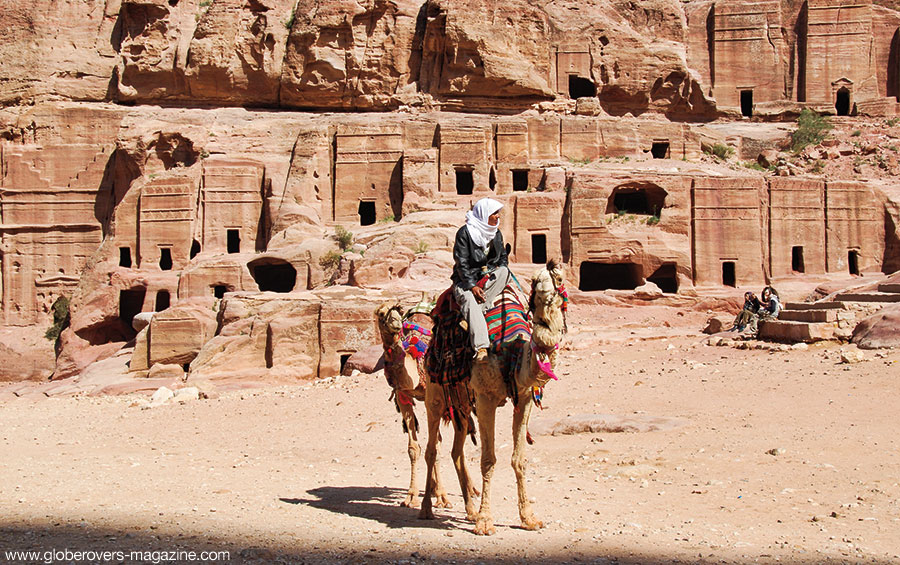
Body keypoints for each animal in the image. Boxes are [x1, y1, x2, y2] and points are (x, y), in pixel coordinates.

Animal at [372, 302, 450, 508]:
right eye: (381, 313)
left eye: (398, 311)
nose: (396, 323)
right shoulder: (403, 397)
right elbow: (414, 448)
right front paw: (411, 496)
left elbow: (436, 445)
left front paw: (442, 496)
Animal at [468, 260, 568, 532]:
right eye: (534, 280)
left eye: (559, 278)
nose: (545, 289)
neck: (512, 351)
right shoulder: (484, 397)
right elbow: (488, 460)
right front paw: (484, 521)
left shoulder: (524, 398)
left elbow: (519, 459)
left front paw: (529, 518)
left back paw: (466, 507)